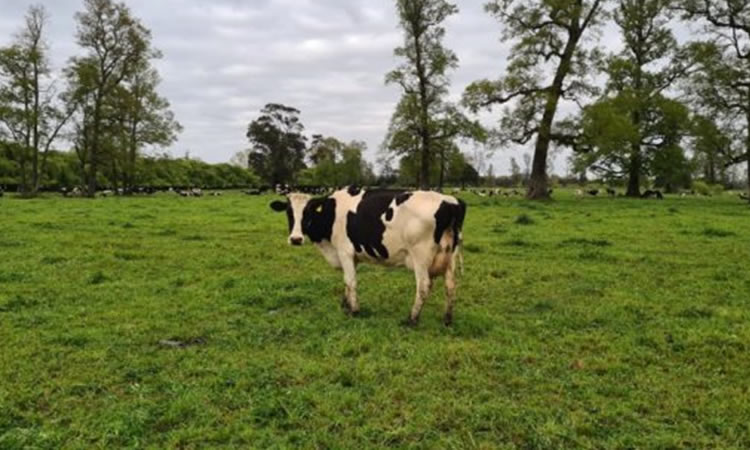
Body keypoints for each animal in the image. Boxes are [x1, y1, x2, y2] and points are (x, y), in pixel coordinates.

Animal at [270, 186, 470, 326]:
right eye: (289, 212)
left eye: (308, 212)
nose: (296, 239)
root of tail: (449, 201)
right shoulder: (351, 257)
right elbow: (347, 282)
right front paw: (345, 305)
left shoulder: (345, 251)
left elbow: (350, 281)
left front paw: (354, 311)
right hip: (450, 257)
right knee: (450, 286)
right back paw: (447, 319)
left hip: (420, 255)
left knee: (423, 286)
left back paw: (411, 319)